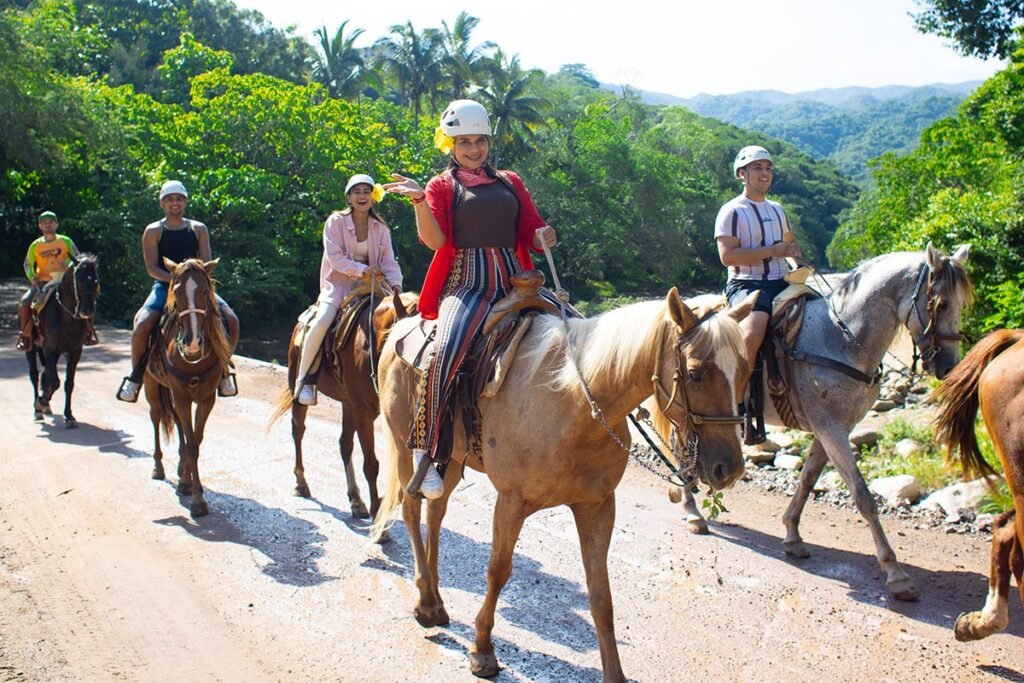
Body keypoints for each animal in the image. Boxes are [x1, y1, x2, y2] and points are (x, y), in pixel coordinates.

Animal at [143, 258, 233, 518]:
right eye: (176, 291)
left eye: (205, 290)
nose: (193, 343)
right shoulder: (181, 396)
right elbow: (192, 443)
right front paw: (197, 499)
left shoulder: (206, 398)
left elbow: (196, 440)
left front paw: (188, 483)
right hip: (151, 386)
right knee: (156, 418)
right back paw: (158, 467)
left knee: (180, 426)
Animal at [270, 286, 421, 518]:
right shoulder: (363, 412)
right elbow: (371, 464)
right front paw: (377, 512)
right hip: (300, 389)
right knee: (298, 431)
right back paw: (301, 483)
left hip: (348, 404)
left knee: (345, 444)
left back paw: (356, 499)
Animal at [372, 290, 757, 683]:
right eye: (695, 373)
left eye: (744, 371)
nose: (729, 468)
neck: (575, 404)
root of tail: (401, 327)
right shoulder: (511, 503)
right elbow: (498, 571)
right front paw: (482, 650)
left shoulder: (597, 507)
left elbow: (601, 594)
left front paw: (614, 673)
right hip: (405, 447)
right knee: (411, 508)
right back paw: (425, 602)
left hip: (449, 457)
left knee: (435, 514)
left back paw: (435, 599)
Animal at [684, 244, 970, 598]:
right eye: (940, 304)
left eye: (962, 304)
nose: (949, 368)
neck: (841, 339)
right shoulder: (832, 430)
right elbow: (863, 496)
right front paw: (895, 572)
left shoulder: (832, 429)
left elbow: (808, 480)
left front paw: (792, 535)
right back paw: (692, 512)